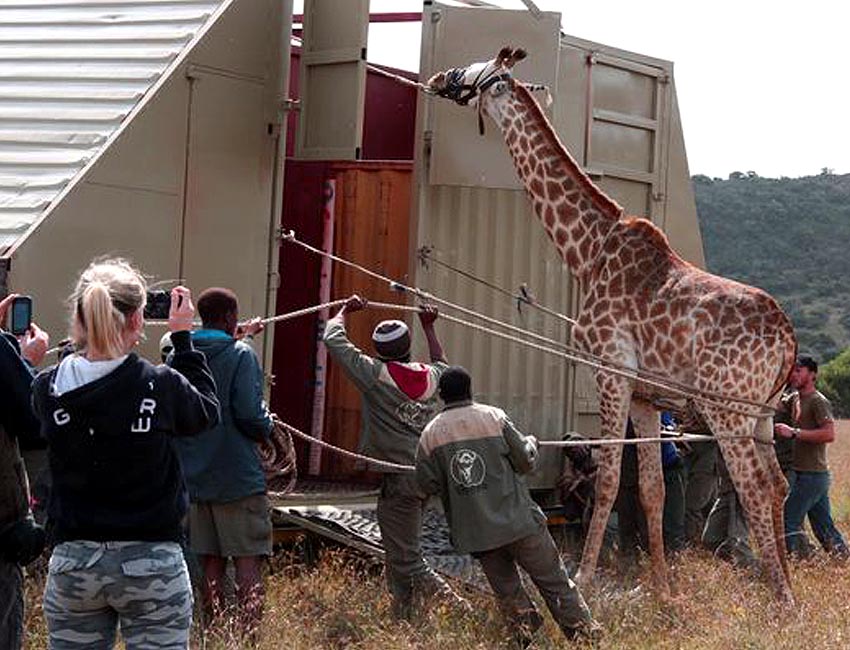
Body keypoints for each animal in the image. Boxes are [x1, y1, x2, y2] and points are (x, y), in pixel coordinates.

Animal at [427, 47, 797, 605]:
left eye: (478, 69)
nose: (437, 77)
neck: (589, 252)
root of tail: (788, 340)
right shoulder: (646, 395)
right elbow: (650, 489)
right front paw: (663, 589)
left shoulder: (609, 370)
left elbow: (605, 480)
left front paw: (583, 576)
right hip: (764, 412)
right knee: (777, 483)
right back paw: (787, 589)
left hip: (726, 406)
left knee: (751, 484)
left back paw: (780, 601)